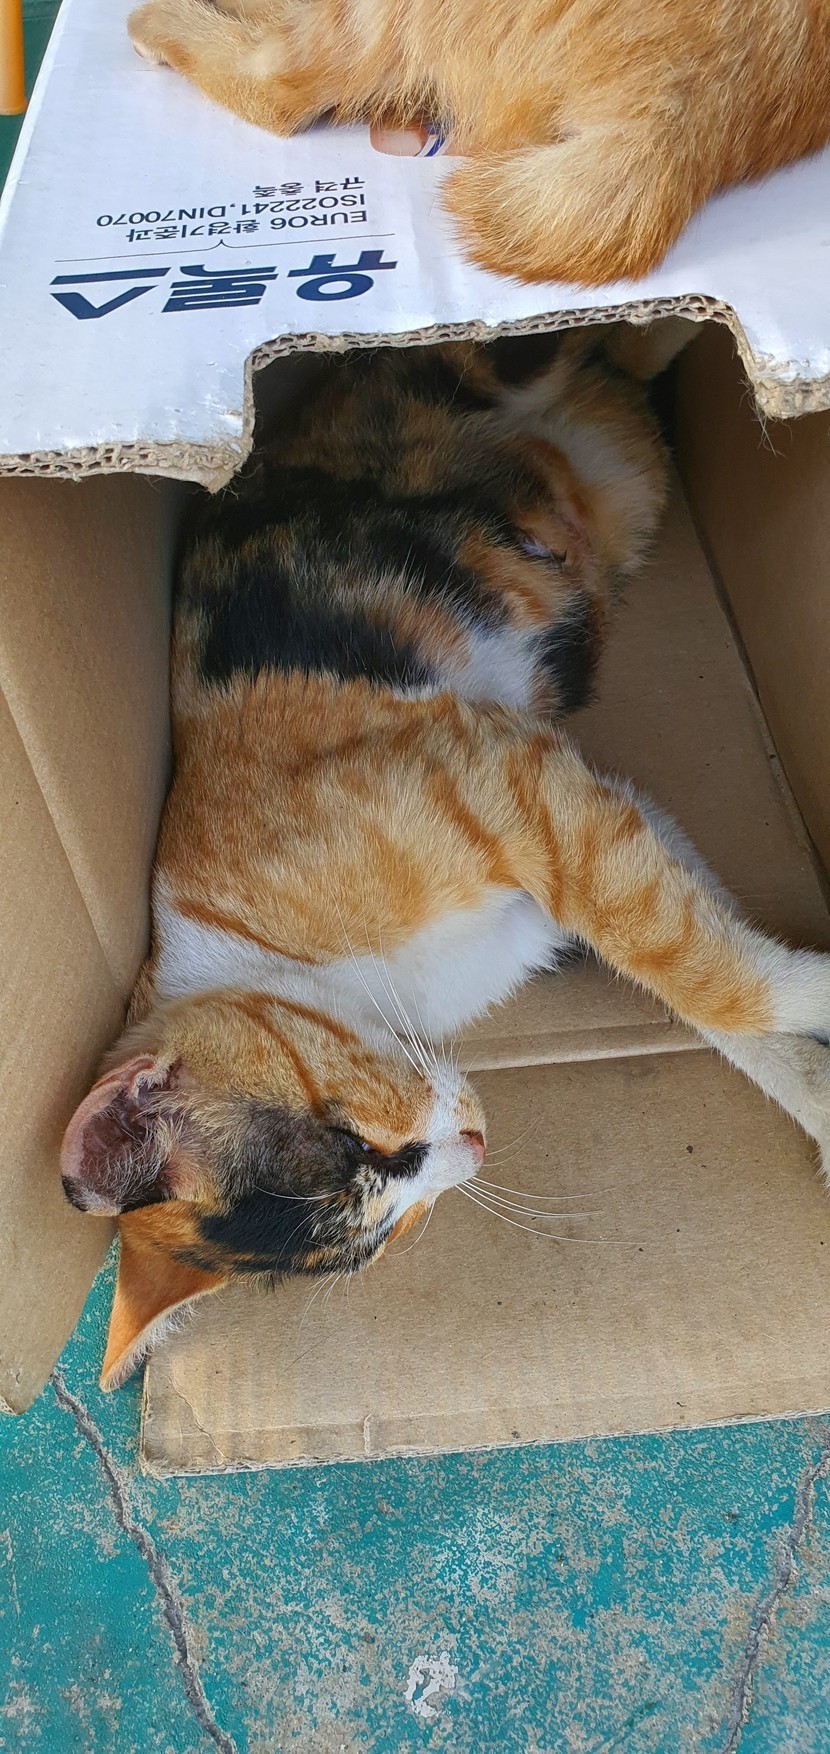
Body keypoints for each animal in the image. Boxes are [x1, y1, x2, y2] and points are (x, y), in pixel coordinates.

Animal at [61, 327, 830, 1392]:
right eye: (383, 1226)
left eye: (353, 1139)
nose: (468, 1143)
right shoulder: (603, 820)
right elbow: (699, 970)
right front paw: (824, 1097)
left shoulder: (510, 778)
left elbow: (712, 974)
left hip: (492, 365)